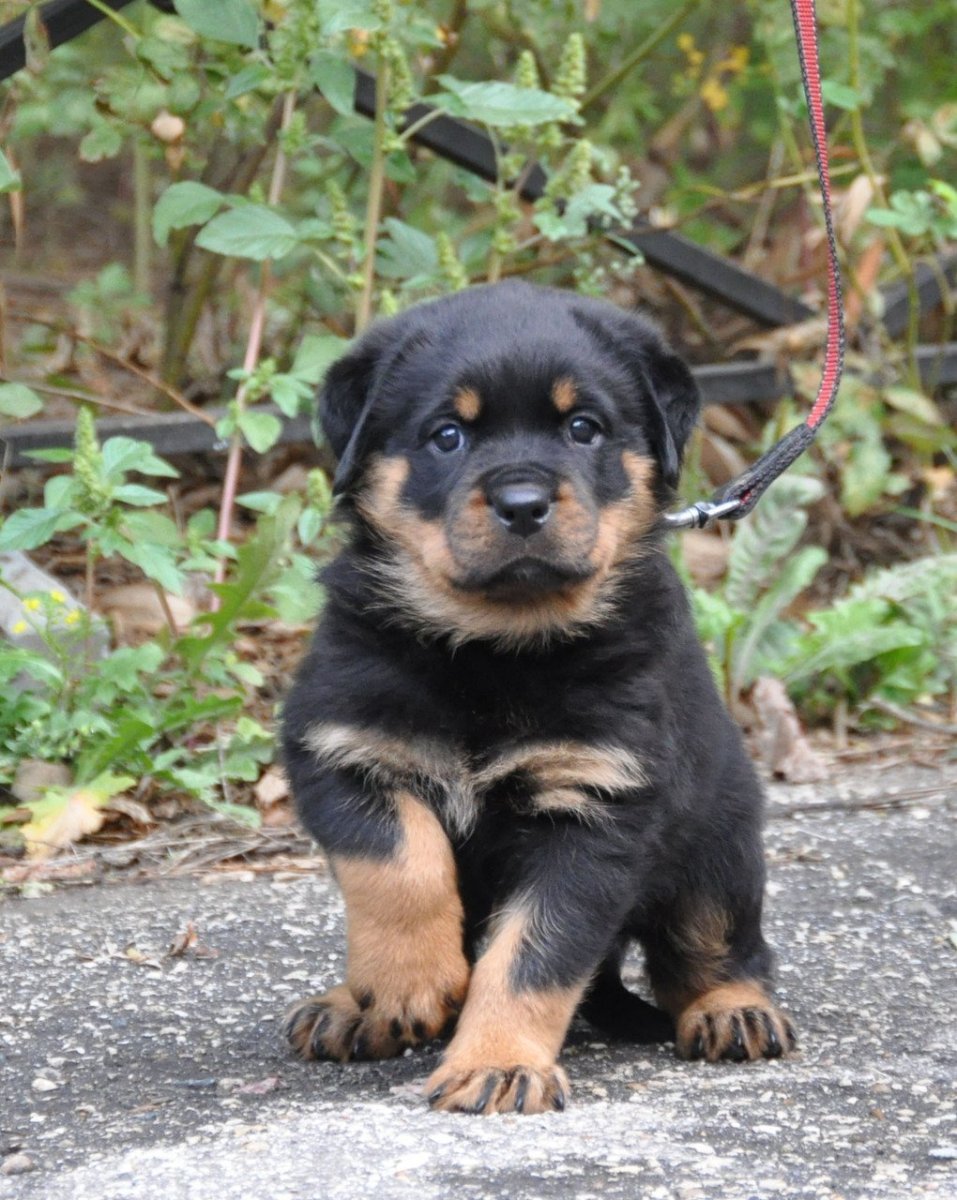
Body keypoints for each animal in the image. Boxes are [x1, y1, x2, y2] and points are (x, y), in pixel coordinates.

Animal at [280, 280, 796, 1113]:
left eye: (583, 428)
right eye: (447, 436)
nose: (522, 501)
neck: (492, 651)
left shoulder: (594, 808)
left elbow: (532, 954)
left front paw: (495, 1063)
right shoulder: (342, 751)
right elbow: (398, 867)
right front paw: (404, 984)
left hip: (717, 850)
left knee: (715, 948)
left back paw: (735, 1010)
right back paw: (346, 1006)